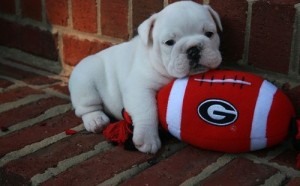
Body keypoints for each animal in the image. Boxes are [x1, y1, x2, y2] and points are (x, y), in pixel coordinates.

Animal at [68, 0, 223, 153]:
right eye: (169, 42)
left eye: (209, 33)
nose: (193, 50)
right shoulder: (139, 89)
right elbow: (147, 110)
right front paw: (147, 139)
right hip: (85, 84)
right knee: (86, 108)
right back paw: (96, 120)